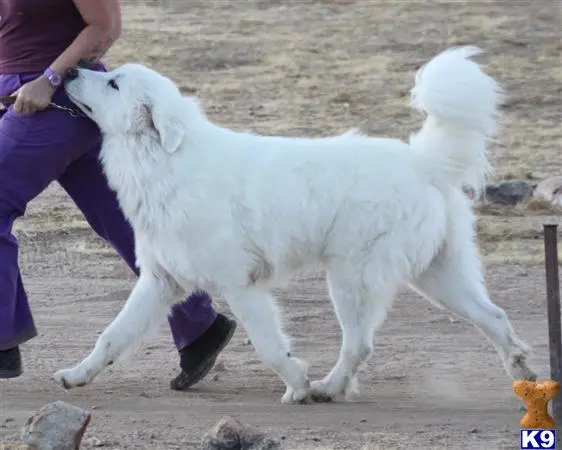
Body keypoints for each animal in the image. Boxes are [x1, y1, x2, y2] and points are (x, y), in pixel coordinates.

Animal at [55, 46, 532, 404]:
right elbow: (112, 336)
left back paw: (327, 388)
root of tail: (422, 161)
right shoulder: (159, 281)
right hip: (437, 276)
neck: (164, 160)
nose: (69, 69)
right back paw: (523, 372)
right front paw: (76, 375)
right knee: (495, 317)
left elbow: (268, 344)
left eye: (114, 83)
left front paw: (297, 385)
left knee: (360, 344)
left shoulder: (241, 286)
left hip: (351, 279)